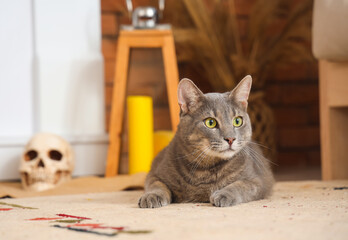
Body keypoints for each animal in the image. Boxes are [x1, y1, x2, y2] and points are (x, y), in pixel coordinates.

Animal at [139, 76, 274, 207]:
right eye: (210, 122)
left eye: (237, 121)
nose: (230, 139)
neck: (205, 169)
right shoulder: (154, 173)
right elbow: (157, 185)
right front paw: (151, 196)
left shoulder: (258, 181)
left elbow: (240, 186)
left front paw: (224, 194)